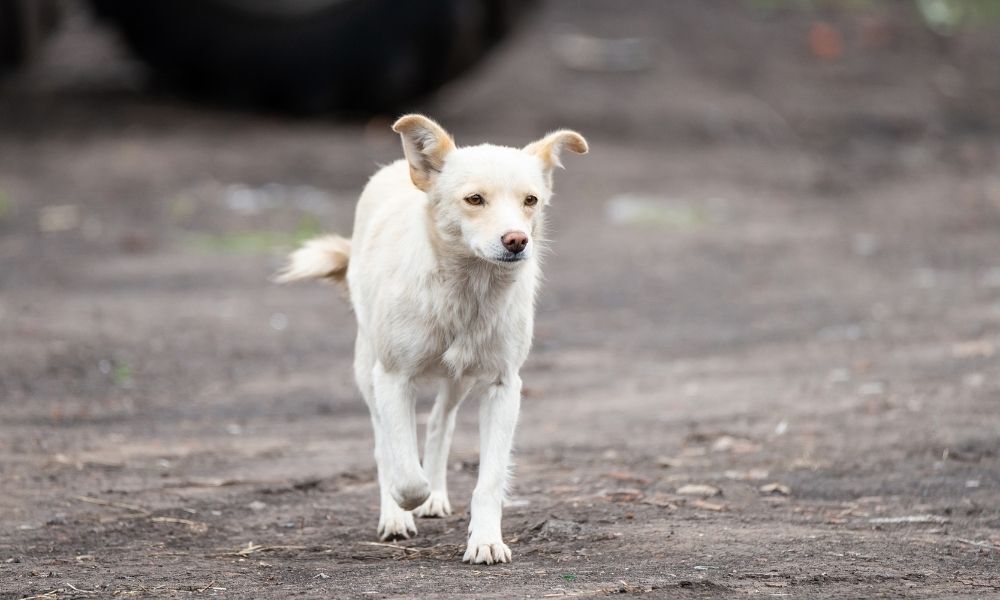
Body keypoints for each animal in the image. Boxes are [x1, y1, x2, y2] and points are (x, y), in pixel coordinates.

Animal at [278, 115, 584, 564]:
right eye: (474, 199)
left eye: (531, 200)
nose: (516, 240)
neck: (468, 292)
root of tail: (394, 168)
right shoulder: (392, 379)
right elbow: (405, 470)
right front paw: (405, 502)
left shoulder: (503, 386)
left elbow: (489, 478)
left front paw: (485, 539)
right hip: (368, 370)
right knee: (385, 443)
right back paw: (396, 515)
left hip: (457, 379)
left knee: (441, 422)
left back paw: (436, 497)